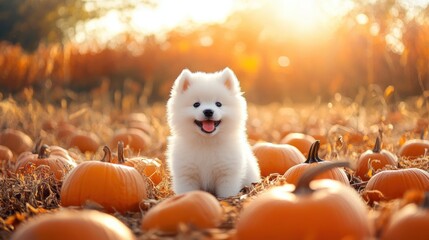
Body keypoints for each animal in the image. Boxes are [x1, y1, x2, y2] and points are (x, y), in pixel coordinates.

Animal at [165, 68, 260, 199]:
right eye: (196, 104)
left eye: (218, 104)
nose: (208, 111)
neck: (206, 142)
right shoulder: (186, 175)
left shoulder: (227, 175)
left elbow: (227, 194)